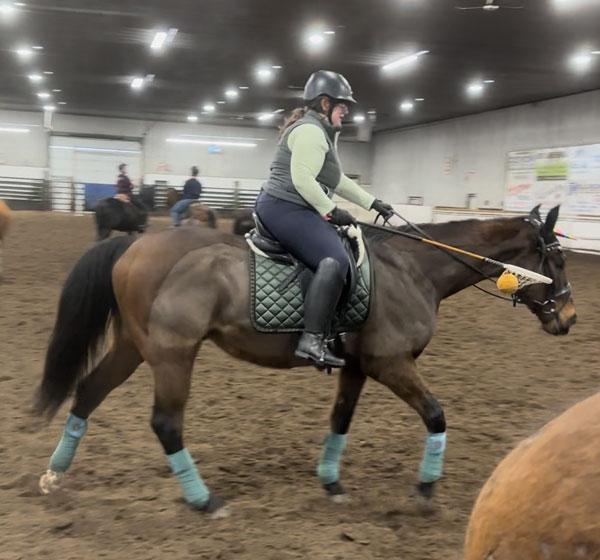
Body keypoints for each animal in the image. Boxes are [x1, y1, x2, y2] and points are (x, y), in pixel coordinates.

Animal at [34, 205, 576, 516]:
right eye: (557, 260)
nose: (569, 318)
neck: (414, 270)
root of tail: (134, 243)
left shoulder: (358, 367)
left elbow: (340, 421)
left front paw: (331, 482)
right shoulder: (392, 364)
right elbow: (437, 415)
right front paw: (425, 489)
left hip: (133, 347)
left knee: (88, 391)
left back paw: (54, 475)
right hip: (172, 355)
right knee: (166, 423)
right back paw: (203, 500)